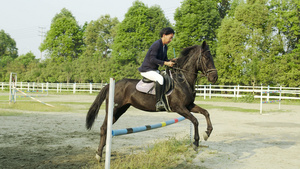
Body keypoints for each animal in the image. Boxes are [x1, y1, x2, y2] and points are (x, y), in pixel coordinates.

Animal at [85, 40, 217, 161]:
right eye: (206, 57)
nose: (214, 77)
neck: (182, 80)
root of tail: (112, 84)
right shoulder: (179, 108)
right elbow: (195, 120)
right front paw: (196, 143)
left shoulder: (189, 106)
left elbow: (206, 113)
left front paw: (207, 133)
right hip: (114, 109)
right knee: (104, 128)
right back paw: (99, 155)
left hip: (120, 110)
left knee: (106, 128)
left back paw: (100, 152)